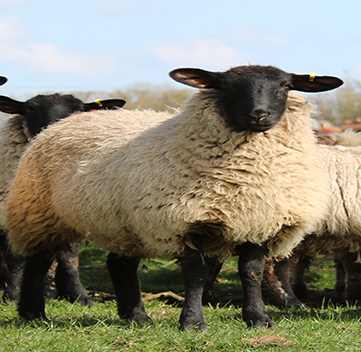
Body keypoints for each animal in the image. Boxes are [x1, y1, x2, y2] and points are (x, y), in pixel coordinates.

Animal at [0, 92, 125, 304]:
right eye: (30, 109)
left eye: (79, 110)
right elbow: (15, 258)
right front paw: (13, 296)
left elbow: (69, 259)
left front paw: (80, 296)